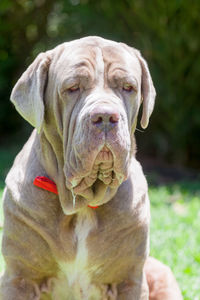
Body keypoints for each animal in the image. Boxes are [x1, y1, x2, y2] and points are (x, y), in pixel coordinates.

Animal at [0, 36, 182, 298]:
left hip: (161, 272)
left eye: (128, 87)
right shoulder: (20, 278)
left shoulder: (129, 281)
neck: (82, 204)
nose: (105, 117)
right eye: (73, 87)